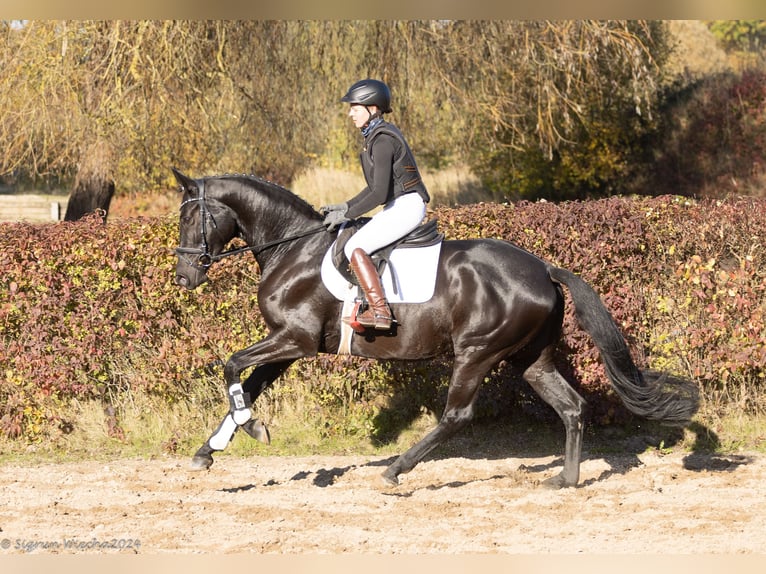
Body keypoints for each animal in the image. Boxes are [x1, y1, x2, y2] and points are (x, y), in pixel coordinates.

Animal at [171, 169, 700, 488]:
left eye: (192, 215)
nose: (183, 277)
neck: (291, 248)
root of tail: (544, 269)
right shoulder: (289, 347)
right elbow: (246, 386)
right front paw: (211, 449)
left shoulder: (293, 341)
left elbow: (230, 367)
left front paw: (250, 428)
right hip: (531, 358)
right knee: (571, 407)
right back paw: (564, 479)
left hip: (477, 352)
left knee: (457, 415)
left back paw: (396, 470)